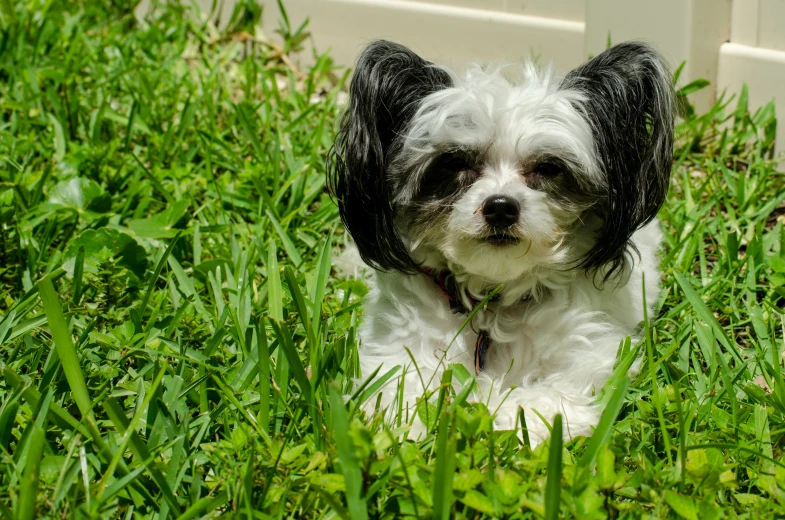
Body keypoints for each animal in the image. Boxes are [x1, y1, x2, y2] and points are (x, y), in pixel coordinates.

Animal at [324, 40, 672, 444]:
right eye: (454, 162)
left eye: (548, 168)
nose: (501, 207)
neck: (494, 298)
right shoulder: (399, 348)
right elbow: (399, 393)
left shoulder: (584, 360)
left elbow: (537, 403)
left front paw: (490, 408)